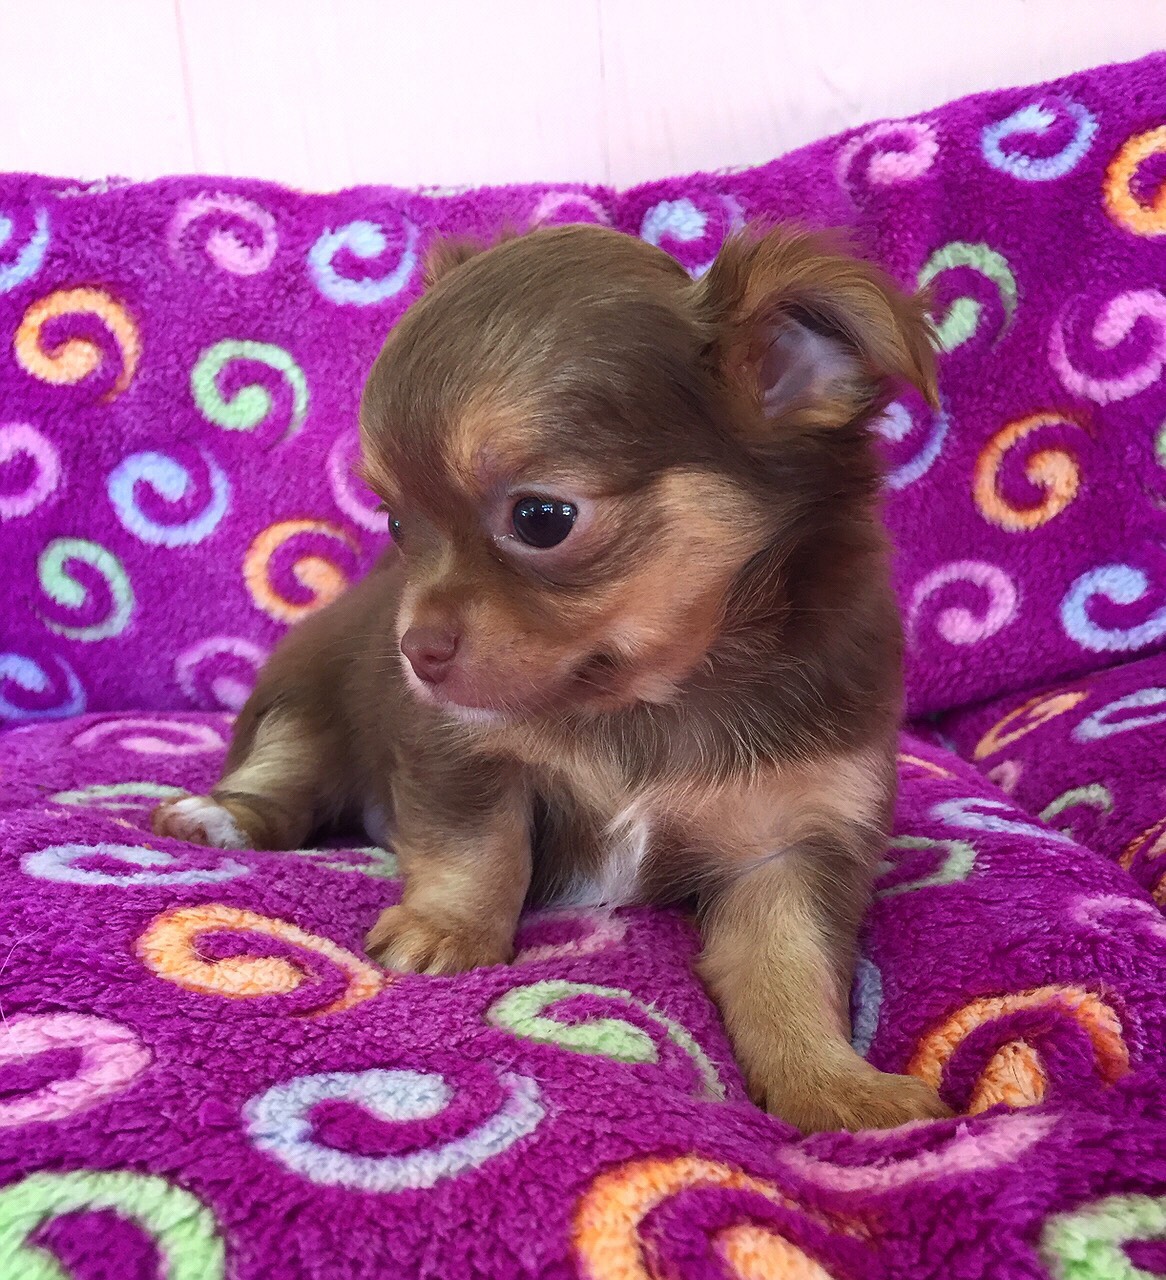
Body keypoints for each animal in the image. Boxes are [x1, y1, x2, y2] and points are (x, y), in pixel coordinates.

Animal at [153, 222, 950, 1133]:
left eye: (542, 519)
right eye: (397, 525)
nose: (414, 650)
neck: (653, 693)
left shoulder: (795, 837)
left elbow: (791, 965)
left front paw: (836, 1086)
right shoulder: (462, 752)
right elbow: (478, 848)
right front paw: (445, 931)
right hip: (302, 699)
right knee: (285, 774)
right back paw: (217, 818)